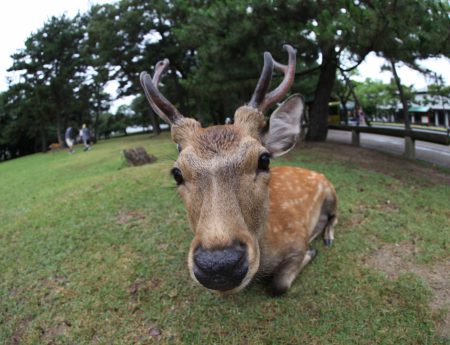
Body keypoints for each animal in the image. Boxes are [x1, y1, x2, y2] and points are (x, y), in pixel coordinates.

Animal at [141, 44, 338, 294]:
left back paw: (328, 237)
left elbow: (279, 284)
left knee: (334, 216)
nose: (219, 265)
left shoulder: (297, 239)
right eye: (177, 173)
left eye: (264, 159)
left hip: (332, 193)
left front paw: (312, 251)